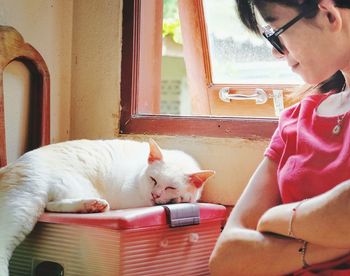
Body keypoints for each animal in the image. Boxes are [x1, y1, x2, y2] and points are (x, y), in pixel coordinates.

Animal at [0, 139, 213, 274]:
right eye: (153, 180)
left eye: (170, 187)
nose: (155, 194)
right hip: (25, 203)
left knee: (51, 205)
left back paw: (91, 205)